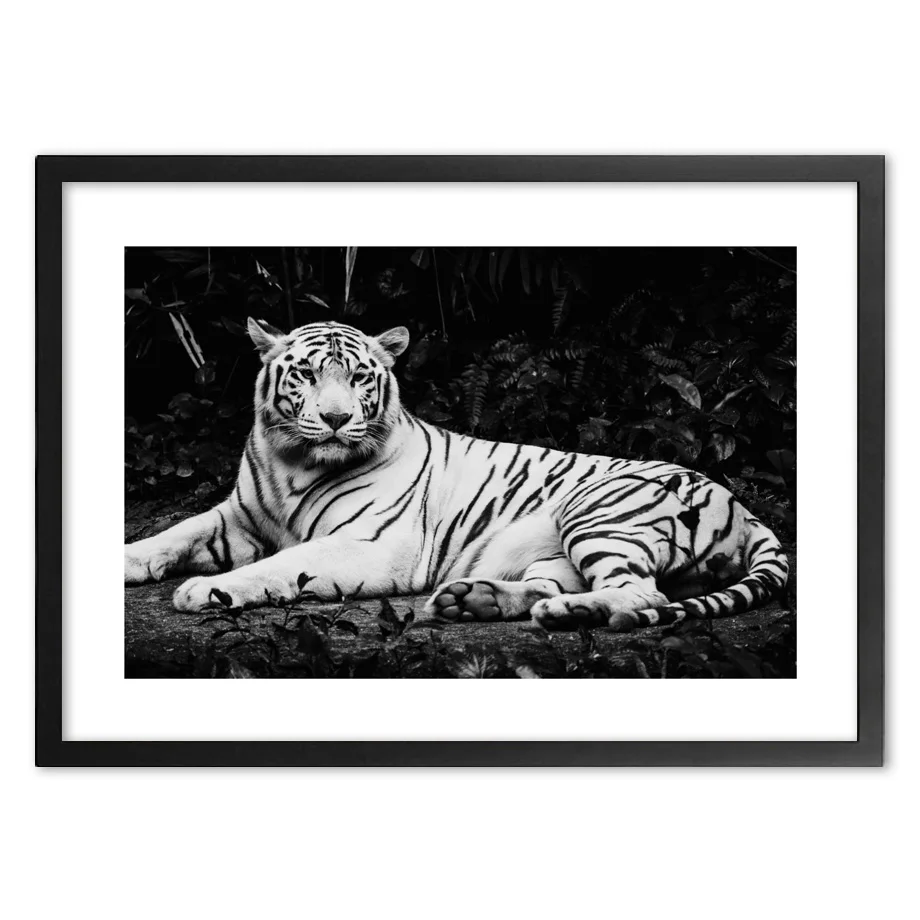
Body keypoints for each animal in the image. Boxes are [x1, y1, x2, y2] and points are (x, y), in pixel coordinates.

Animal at [124, 319, 789, 632]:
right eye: (308, 374)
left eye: (359, 378)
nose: (337, 419)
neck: (295, 461)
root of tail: (743, 507)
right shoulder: (236, 516)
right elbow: (174, 531)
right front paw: (131, 560)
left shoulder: (372, 544)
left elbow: (282, 564)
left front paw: (204, 591)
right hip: (558, 551)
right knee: (558, 585)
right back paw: (477, 601)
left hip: (599, 511)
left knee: (643, 594)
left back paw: (568, 615)